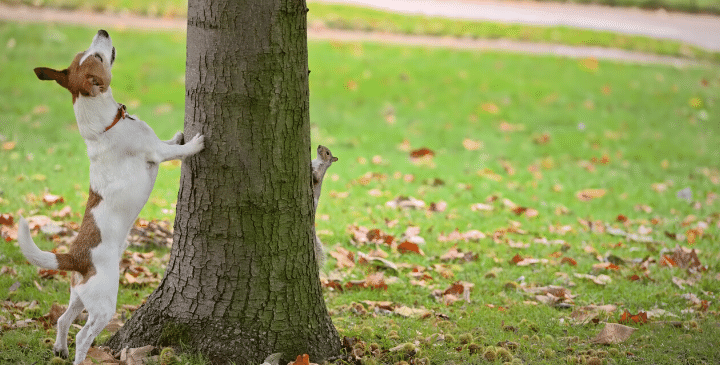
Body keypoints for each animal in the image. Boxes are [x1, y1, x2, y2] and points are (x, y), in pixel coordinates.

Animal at [15, 29, 205, 364]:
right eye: (97, 57)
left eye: (88, 53)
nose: (102, 31)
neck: (104, 125)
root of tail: (74, 256)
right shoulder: (156, 152)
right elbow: (175, 150)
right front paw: (193, 142)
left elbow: (170, 141)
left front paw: (179, 134)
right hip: (104, 304)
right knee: (83, 335)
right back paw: (78, 355)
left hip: (79, 296)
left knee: (63, 319)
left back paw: (60, 348)